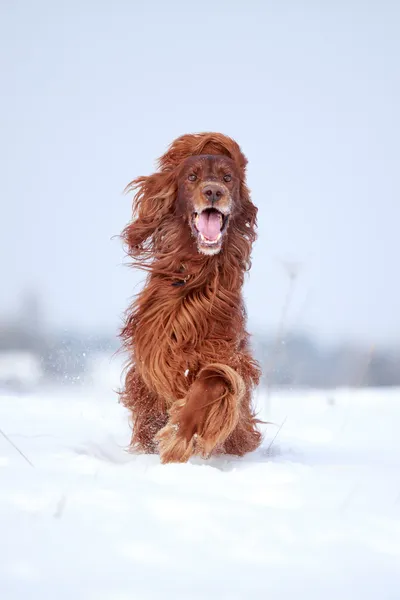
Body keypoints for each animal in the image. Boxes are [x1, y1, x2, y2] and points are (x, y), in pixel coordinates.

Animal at [119, 132, 262, 464]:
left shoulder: (229, 357)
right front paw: (176, 440)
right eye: (192, 177)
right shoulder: (156, 353)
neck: (198, 275)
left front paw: (178, 436)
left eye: (227, 177)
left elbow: (212, 382)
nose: (213, 191)